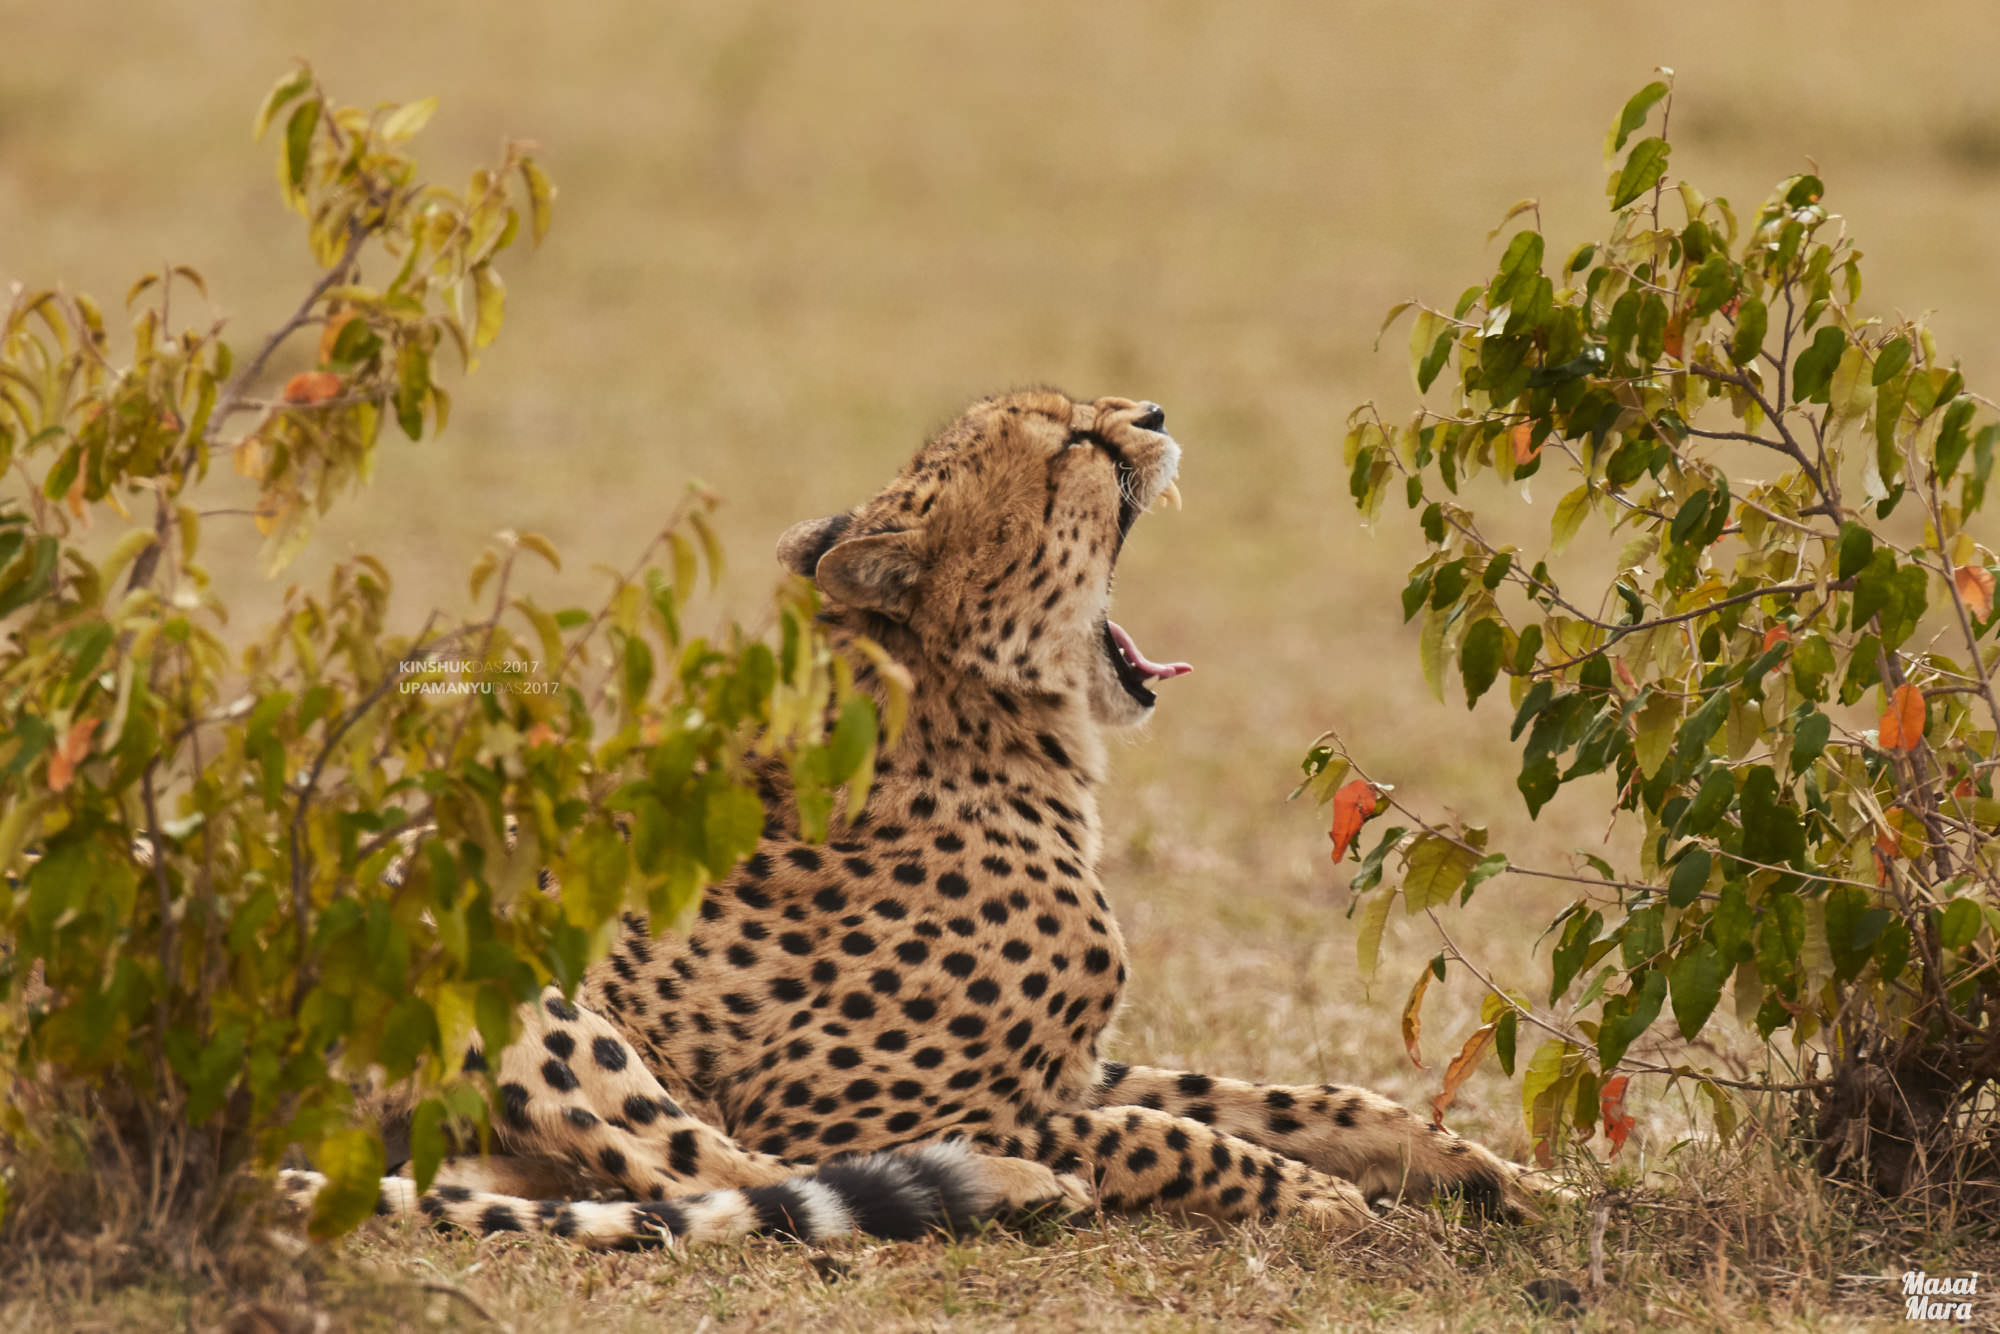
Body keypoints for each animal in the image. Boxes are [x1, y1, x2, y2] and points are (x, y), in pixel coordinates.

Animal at [290, 388, 1520, 1256]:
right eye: (1071, 447)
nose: (1156, 414)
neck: (988, 724)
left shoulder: (1061, 1064)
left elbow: (1268, 1093)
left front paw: (1485, 1170)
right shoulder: (839, 1109)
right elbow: (1156, 1129)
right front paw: (1320, 1198)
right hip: (504, 973)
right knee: (698, 1172)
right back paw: (1014, 1190)